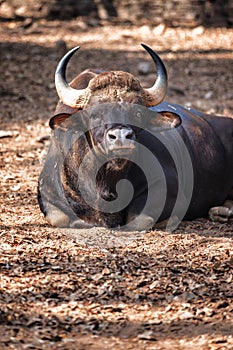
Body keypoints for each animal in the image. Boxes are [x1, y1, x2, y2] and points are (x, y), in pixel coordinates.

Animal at [38, 43, 233, 231]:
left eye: (138, 113)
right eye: (94, 114)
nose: (121, 136)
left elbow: (139, 220)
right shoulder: (47, 194)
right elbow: (62, 218)